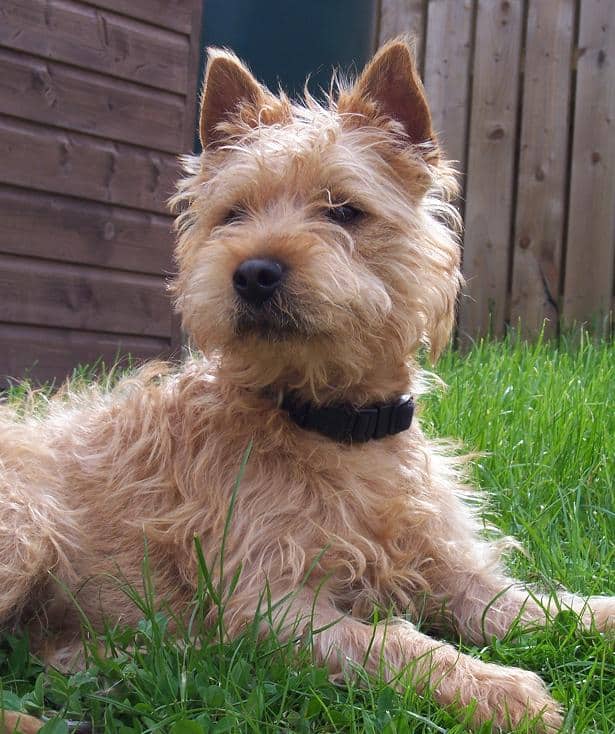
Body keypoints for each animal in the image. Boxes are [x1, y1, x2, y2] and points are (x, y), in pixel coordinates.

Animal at [1, 41, 615, 734]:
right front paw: (497, 687)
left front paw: (599, 615)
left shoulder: (457, 571)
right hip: (25, 527)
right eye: (233, 214)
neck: (337, 425)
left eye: (344, 209)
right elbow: (396, 643)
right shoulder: (271, 604)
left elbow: (537, 605)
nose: (253, 272)